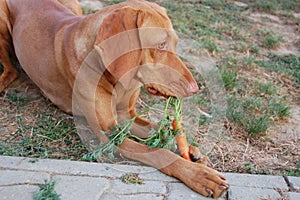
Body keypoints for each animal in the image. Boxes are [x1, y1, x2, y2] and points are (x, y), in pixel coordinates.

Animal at [0, 0, 229, 197]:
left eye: (174, 43)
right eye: (161, 44)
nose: (195, 88)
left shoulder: (126, 116)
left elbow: (161, 130)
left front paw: (193, 151)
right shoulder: (110, 136)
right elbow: (158, 152)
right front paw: (200, 175)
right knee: (11, 69)